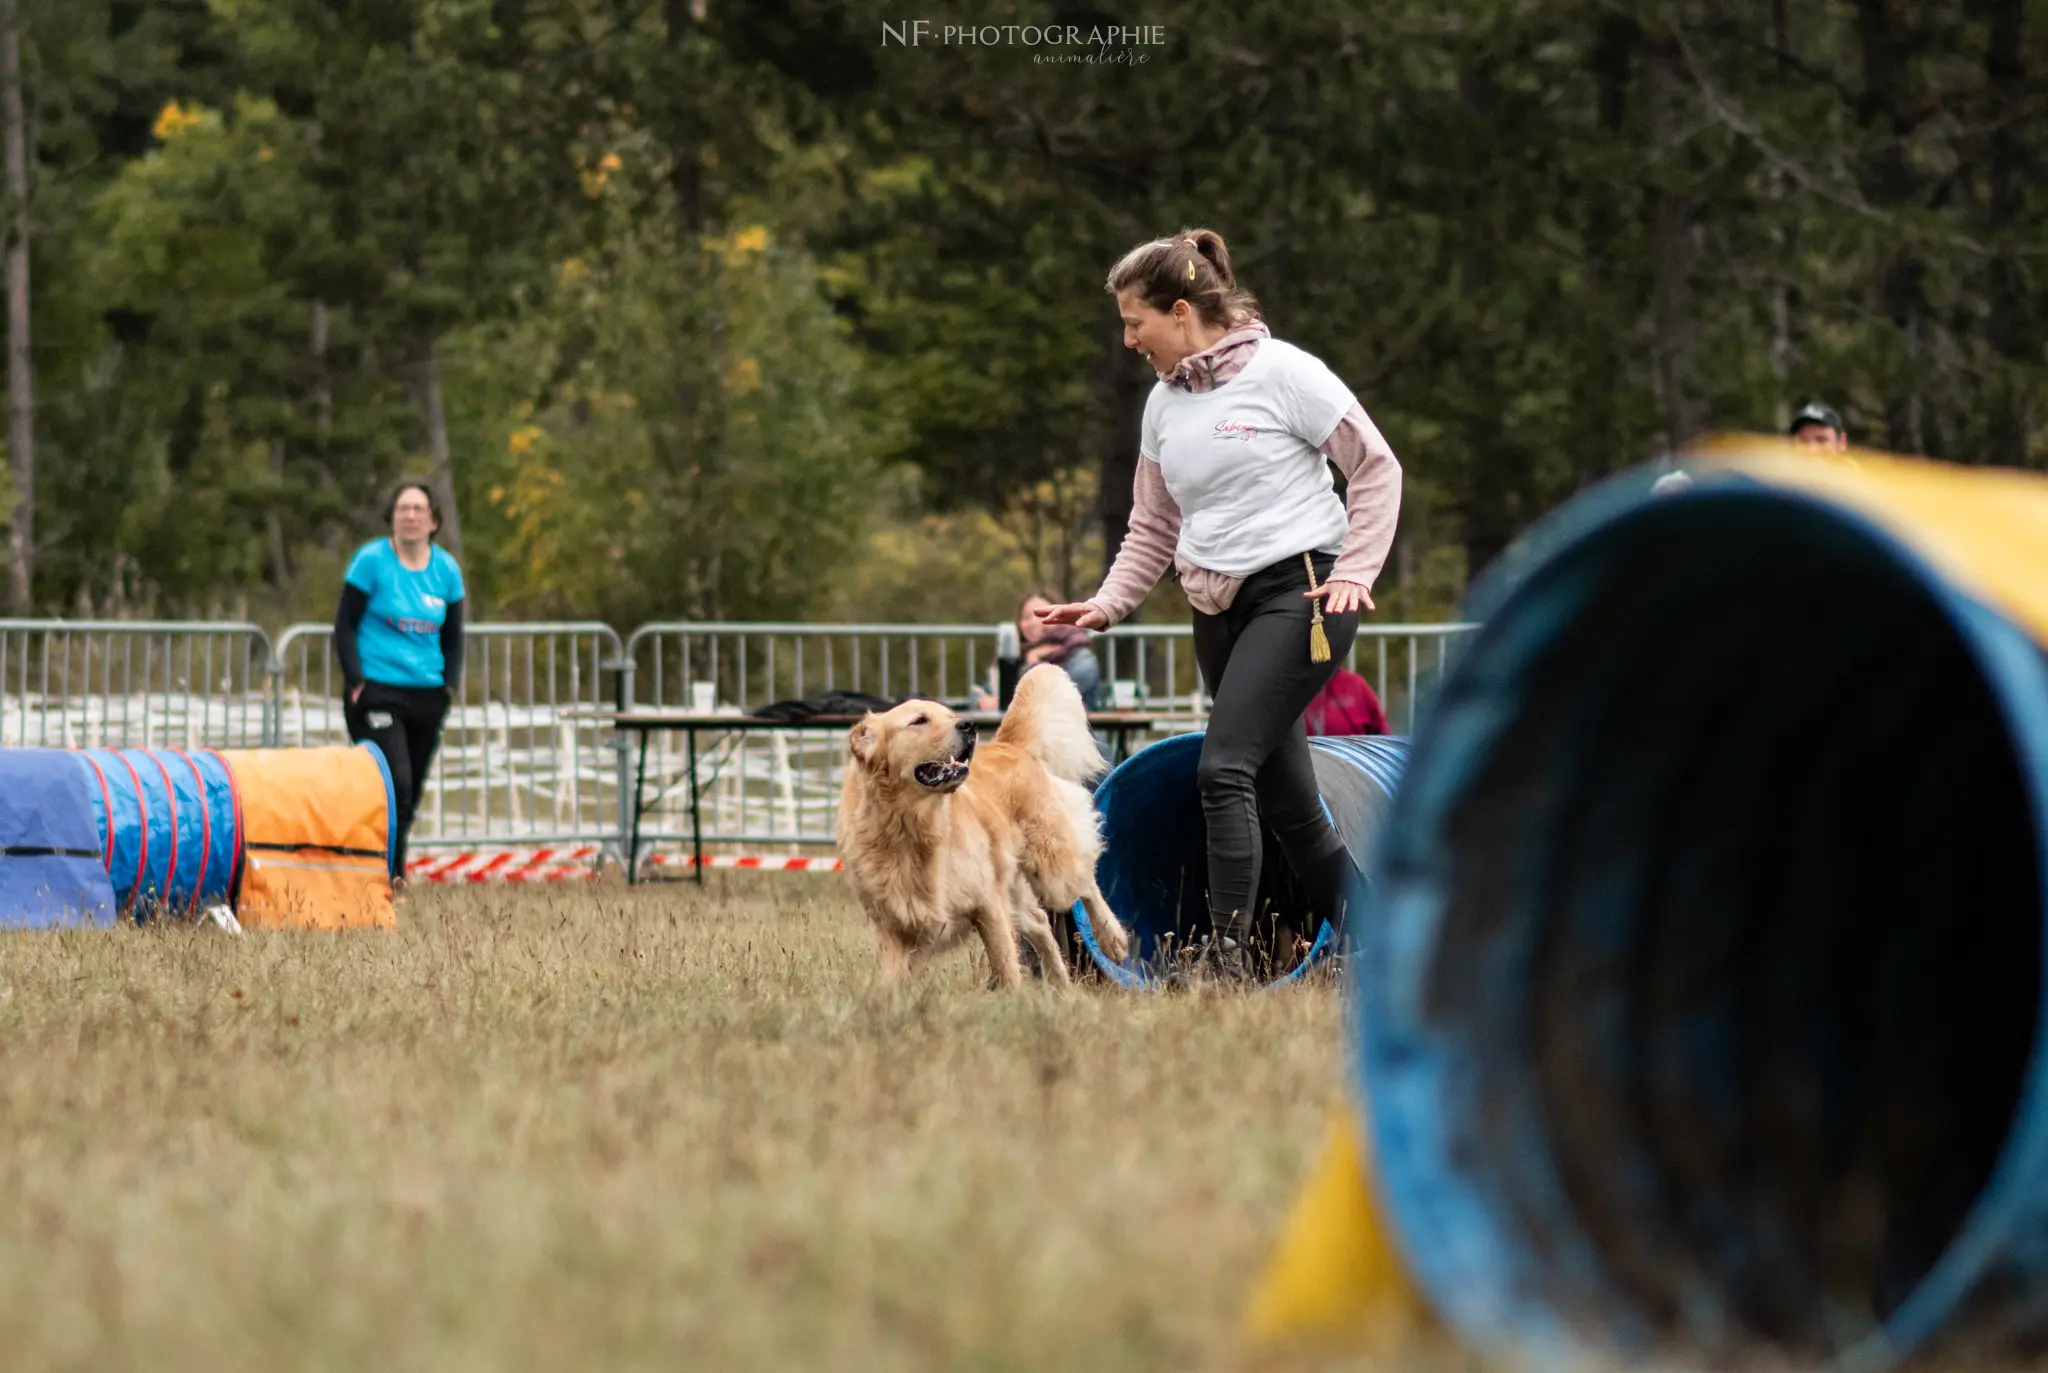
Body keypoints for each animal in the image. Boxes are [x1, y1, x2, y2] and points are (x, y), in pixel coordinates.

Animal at [839, 668, 1146, 991]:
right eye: (919, 720)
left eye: (949, 715)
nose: (968, 725)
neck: (911, 826)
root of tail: (1009, 745)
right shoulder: (900, 927)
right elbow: (893, 980)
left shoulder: (987, 904)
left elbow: (1004, 963)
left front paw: (1013, 997)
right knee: (1040, 922)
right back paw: (1061, 987)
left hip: (1051, 871)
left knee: (1086, 882)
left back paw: (1112, 940)